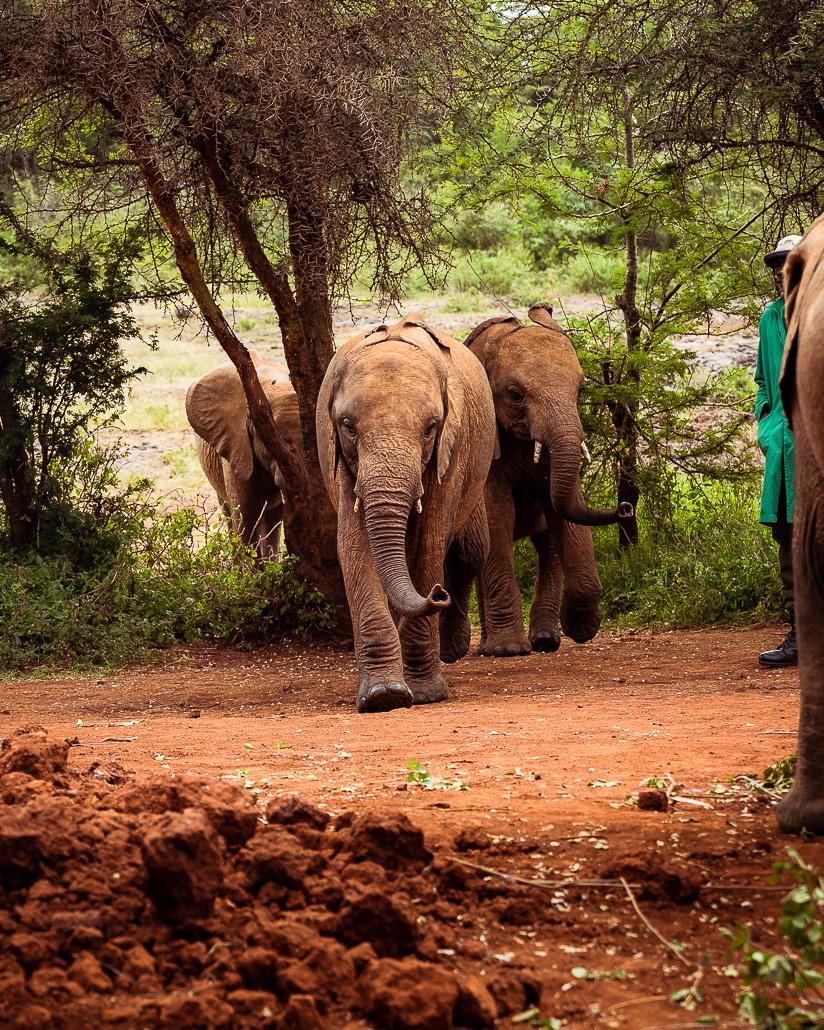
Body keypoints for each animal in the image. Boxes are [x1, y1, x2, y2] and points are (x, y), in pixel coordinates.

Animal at [317, 316, 497, 714]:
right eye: (348, 427)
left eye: (430, 428)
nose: (437, 595)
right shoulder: (342, 465)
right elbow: (352, 548)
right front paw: (384, 696)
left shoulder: (452, 451)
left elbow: (430, 545)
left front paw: (426, 695)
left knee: (468, 551)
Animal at [464, 303, 632, 657]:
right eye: (515, 395)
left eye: (581, 390)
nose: (625, 507)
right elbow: (496, 513)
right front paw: (508, 650)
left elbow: (567, 508)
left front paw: (581, 627)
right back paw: (492, 646)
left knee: (549, 548)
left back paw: (544, 640)